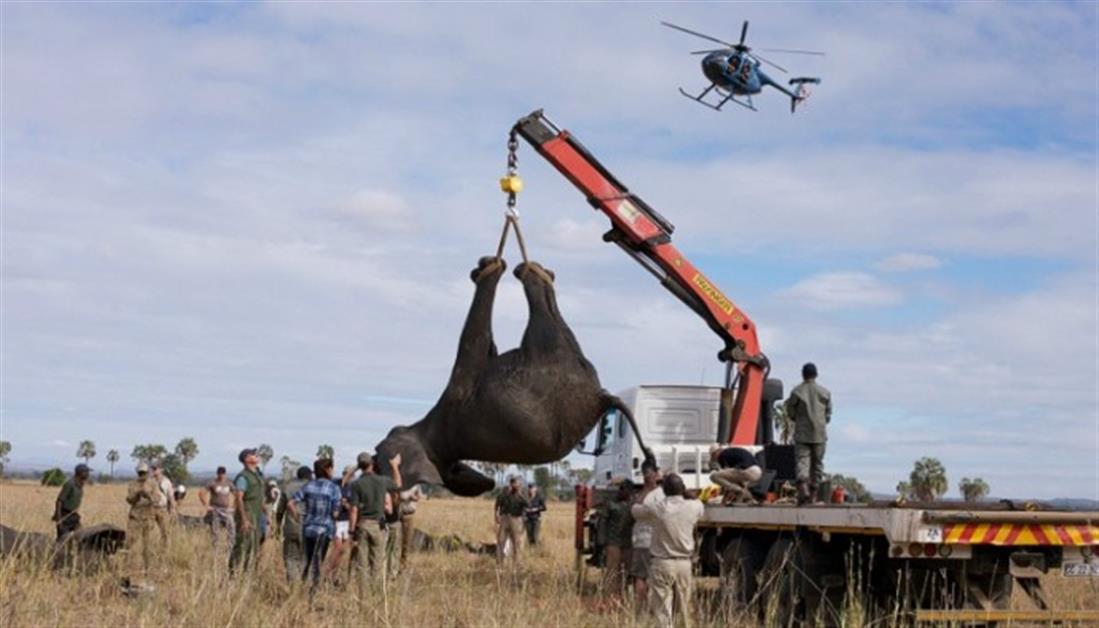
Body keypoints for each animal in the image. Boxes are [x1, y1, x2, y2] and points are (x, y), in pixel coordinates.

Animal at [378, 255, 650, 497]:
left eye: (392, 432)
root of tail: (601, 397)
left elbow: (485, 347)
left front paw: (485, 267)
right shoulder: (458, 395)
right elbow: (474, 343)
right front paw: (490, 268)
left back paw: (537, 271)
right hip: (549, 354)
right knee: (545, 315)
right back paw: (532, 272)